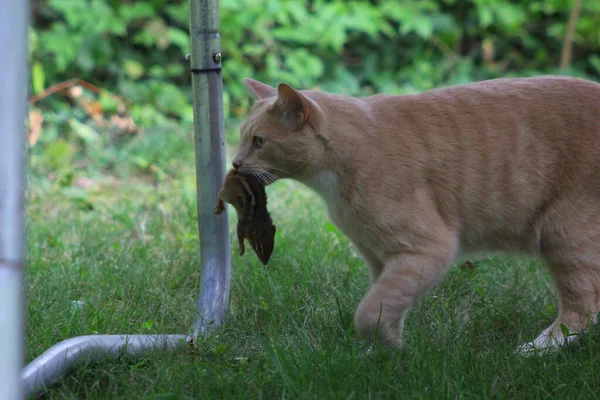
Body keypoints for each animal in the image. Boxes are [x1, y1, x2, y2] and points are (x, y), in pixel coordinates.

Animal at [230, 76, 600, 354]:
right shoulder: (380, 258)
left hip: (567, 234)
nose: (234, 162)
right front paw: (387, 352)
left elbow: (369, 311)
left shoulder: (427, 249)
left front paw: (389, 349)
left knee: (582, 307)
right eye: (242, 138)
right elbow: (386, 302)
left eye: (259, 141)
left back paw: (538, 349)